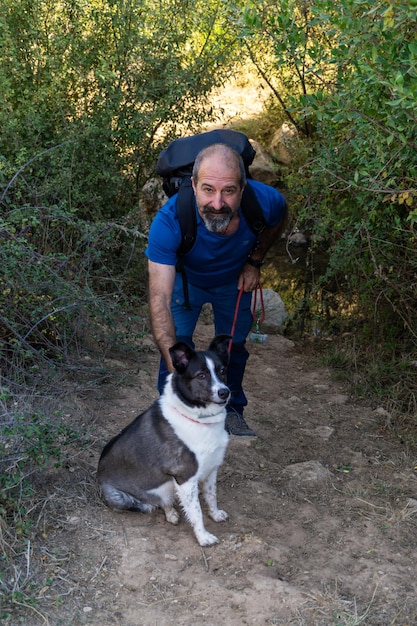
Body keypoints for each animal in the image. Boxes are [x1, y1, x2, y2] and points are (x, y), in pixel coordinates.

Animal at [98, 334, 231, 544]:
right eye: (201, 375)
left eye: (222, 371)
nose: (224, 392)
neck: (198, 418)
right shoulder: (185, 477)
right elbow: (196, 511)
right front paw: (203, 537)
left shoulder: (212, 467)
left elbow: (211, 496)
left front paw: (215, 514)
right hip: (120, 498)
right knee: (153, 503)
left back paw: (172, 513)